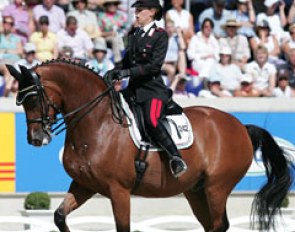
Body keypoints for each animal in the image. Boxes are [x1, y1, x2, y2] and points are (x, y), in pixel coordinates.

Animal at [5, 60, 294, 232]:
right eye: (20, 101)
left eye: (33, 99)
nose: (36, 139)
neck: (96, 121)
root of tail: (241, 127)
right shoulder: (84, 184)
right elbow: (59, 216)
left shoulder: (119, 190)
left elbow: (122, 227)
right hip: (196, 190)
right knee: (213, 225)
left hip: (217, 186)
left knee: (218, 225)